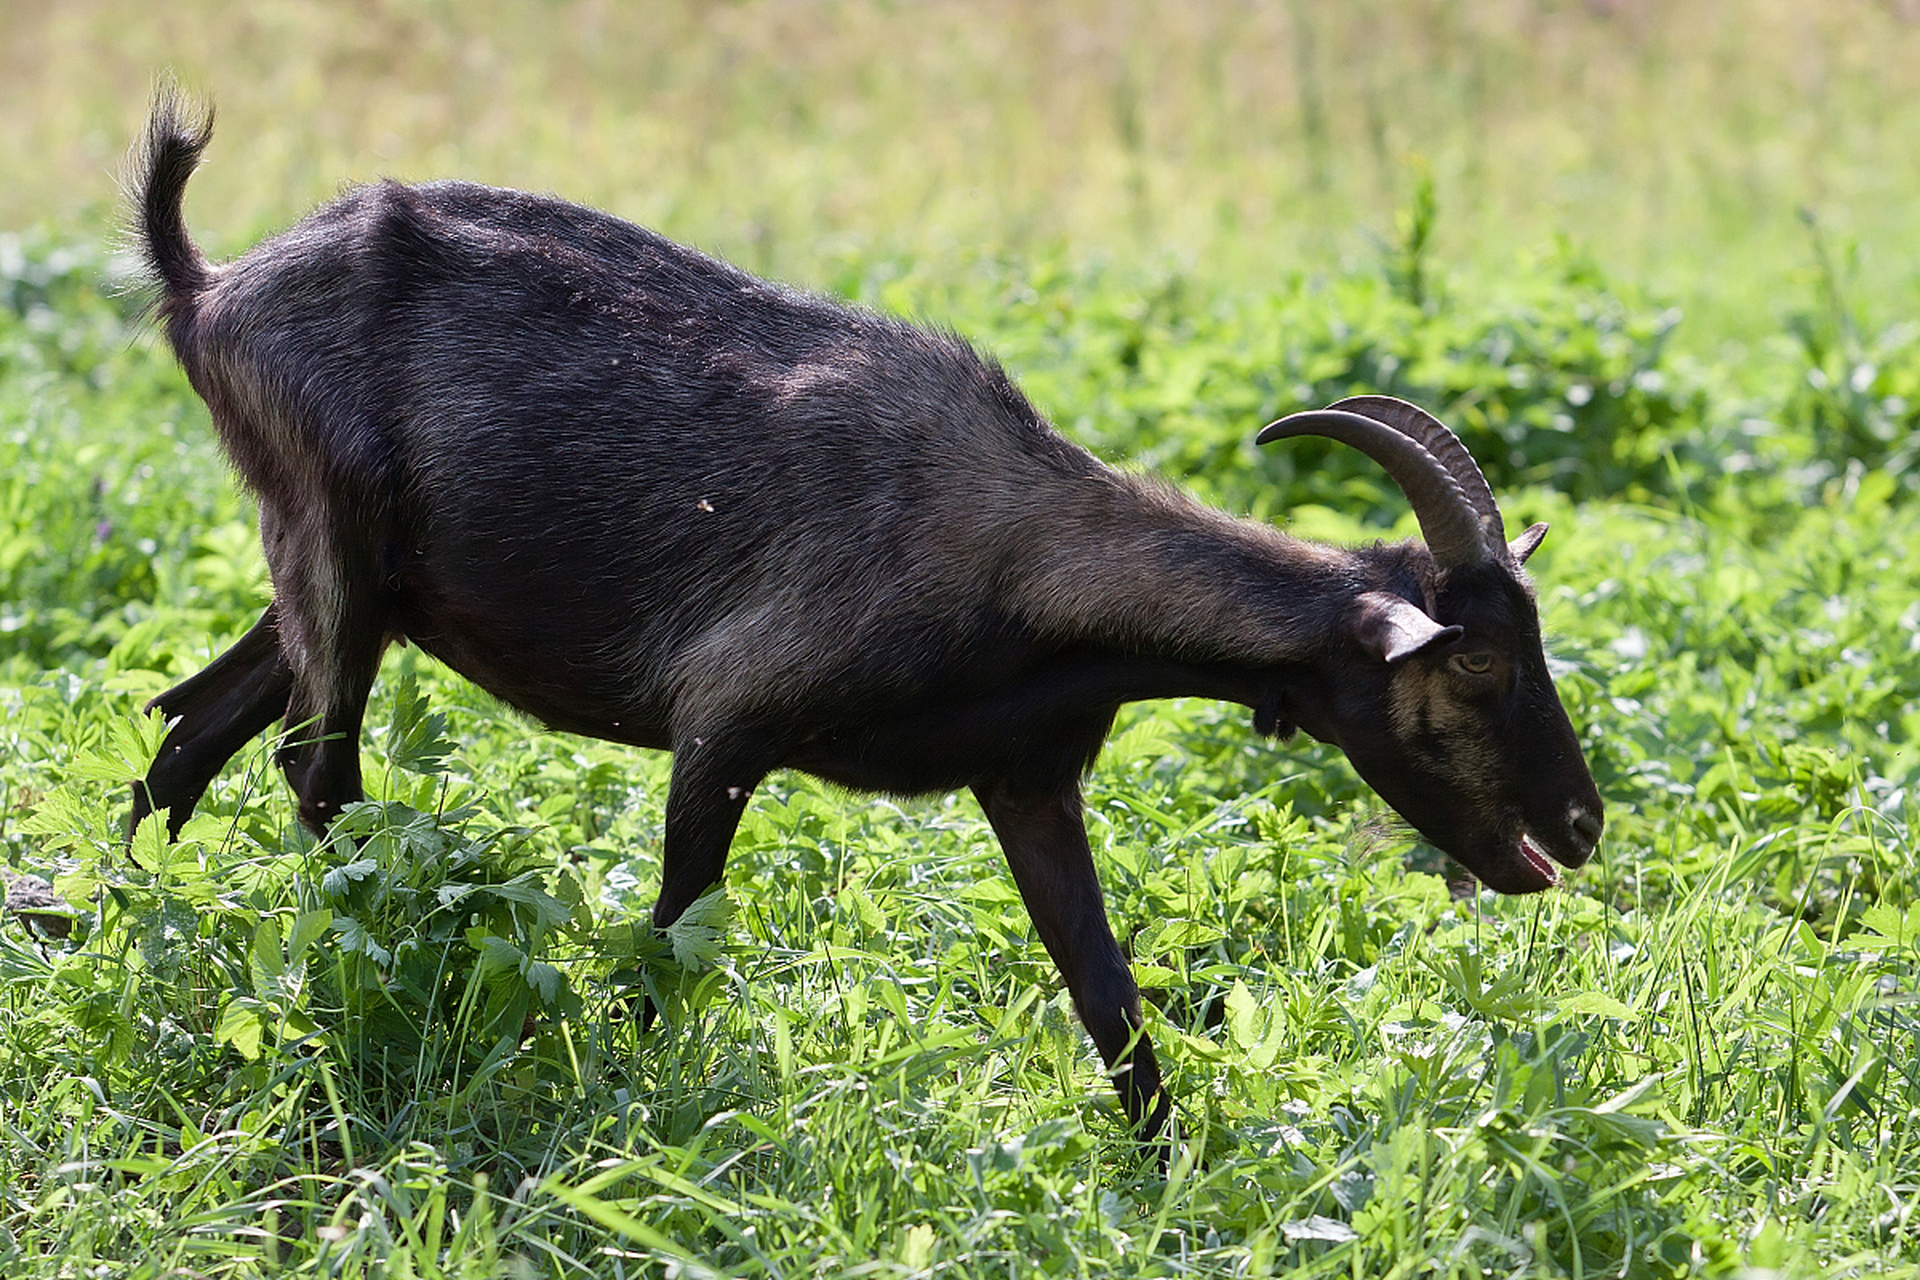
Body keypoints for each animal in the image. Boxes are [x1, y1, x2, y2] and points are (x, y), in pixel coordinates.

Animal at [123, 97, 1605, 1143]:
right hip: (329, 548)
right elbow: (673, 938)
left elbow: (1109, 998)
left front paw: (1178, 1178)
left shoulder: (1026, 779)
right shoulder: (724, 727)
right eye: (1474, 668)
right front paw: (630, 1111)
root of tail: (207, 283)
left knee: (189, 728)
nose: (1583, 825)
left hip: (348, 584)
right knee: (313, 768)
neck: (1016, 543)